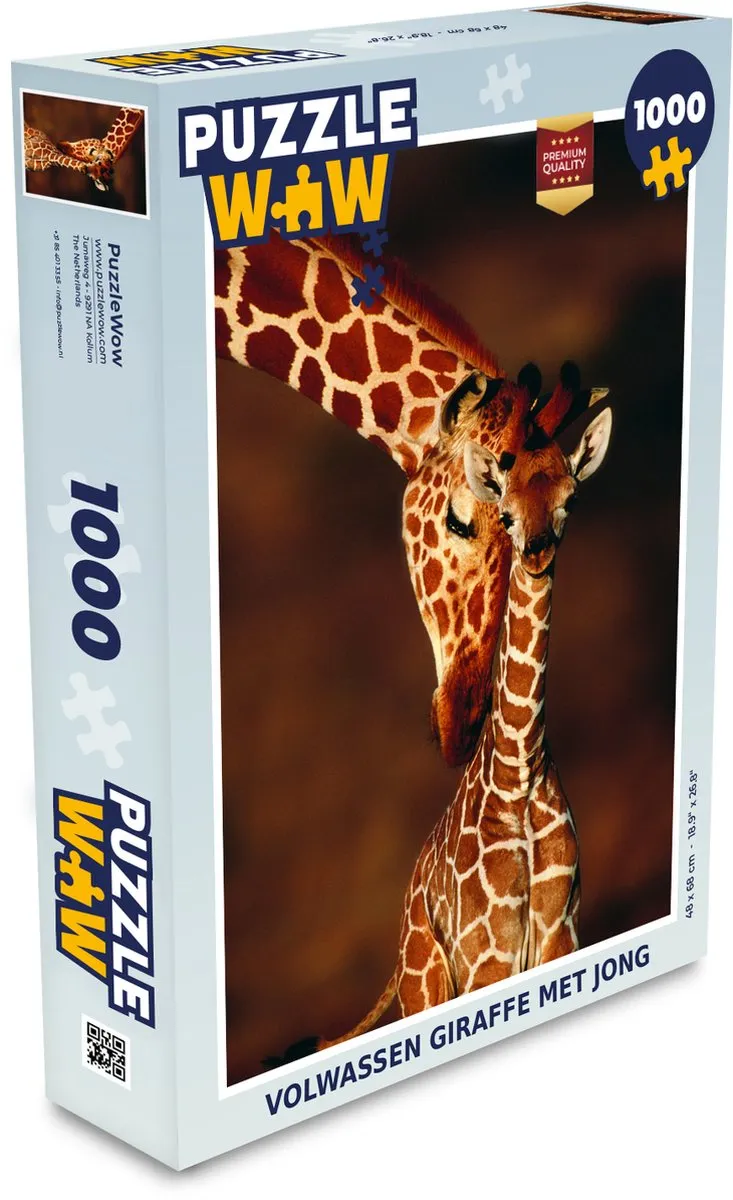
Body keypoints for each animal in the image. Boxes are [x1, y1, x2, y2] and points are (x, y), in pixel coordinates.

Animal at [293, 399, 613, 1052]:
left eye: (569, 499)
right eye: (506, 513)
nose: (537, 551)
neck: (518, 771)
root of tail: (400, 937)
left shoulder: (560, 932)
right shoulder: (488, 954)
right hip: (428, 984)